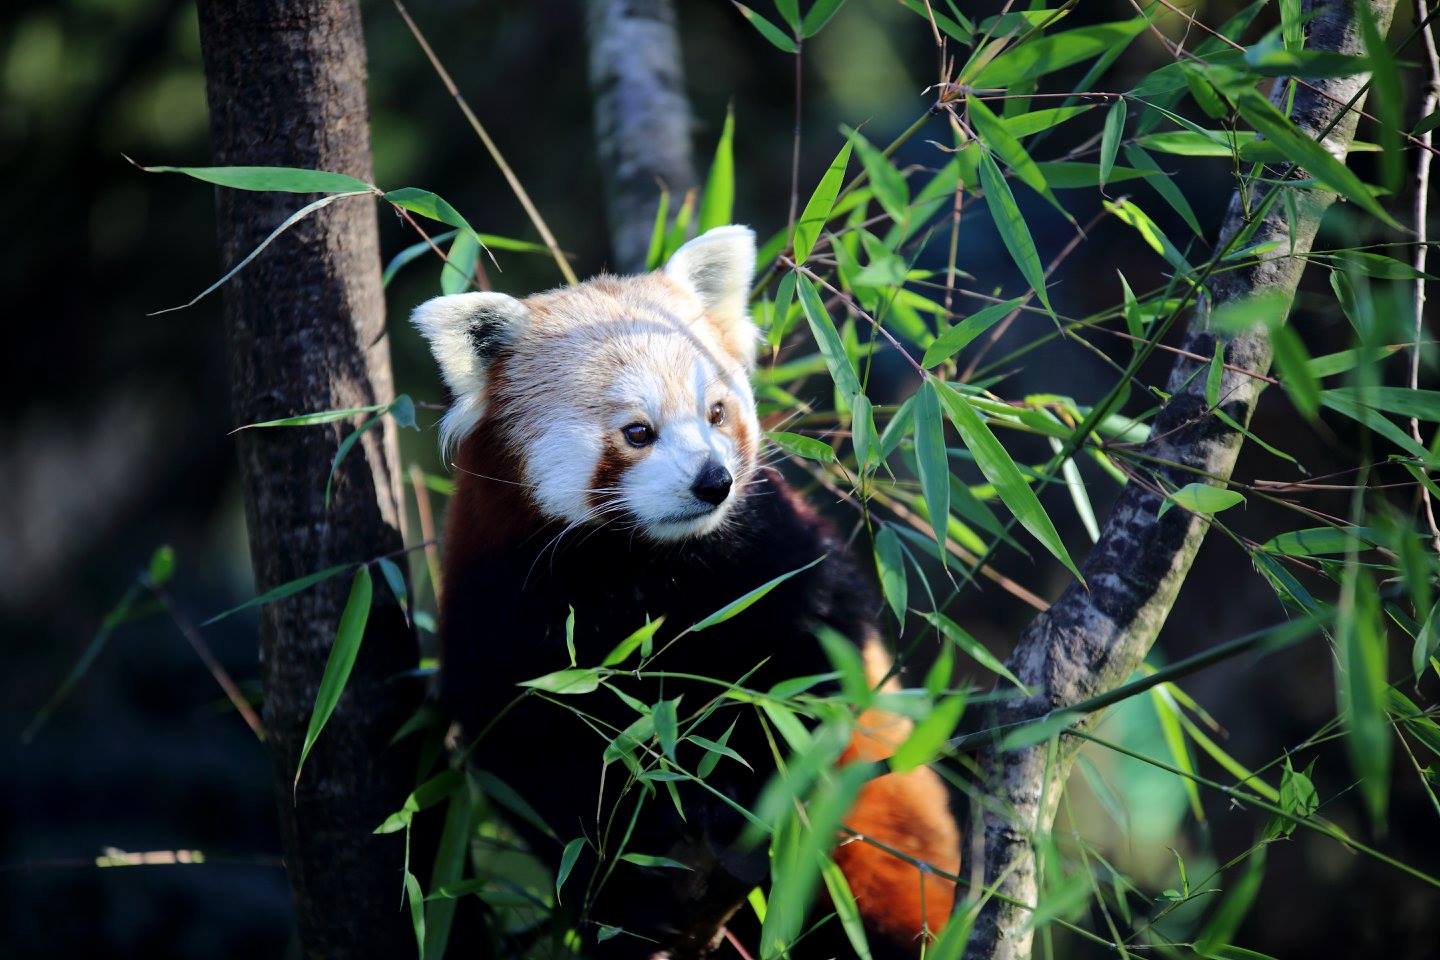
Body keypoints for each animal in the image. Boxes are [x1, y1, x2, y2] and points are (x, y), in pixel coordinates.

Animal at [412, 225, 960, 958]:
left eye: (717, 413)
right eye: (638, 432)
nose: (712, 481)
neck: (639, 562)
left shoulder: (768, 554)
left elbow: (806, 672)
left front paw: (736, 792)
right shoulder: (502, 605)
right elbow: (532, 753)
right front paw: (629, 882)